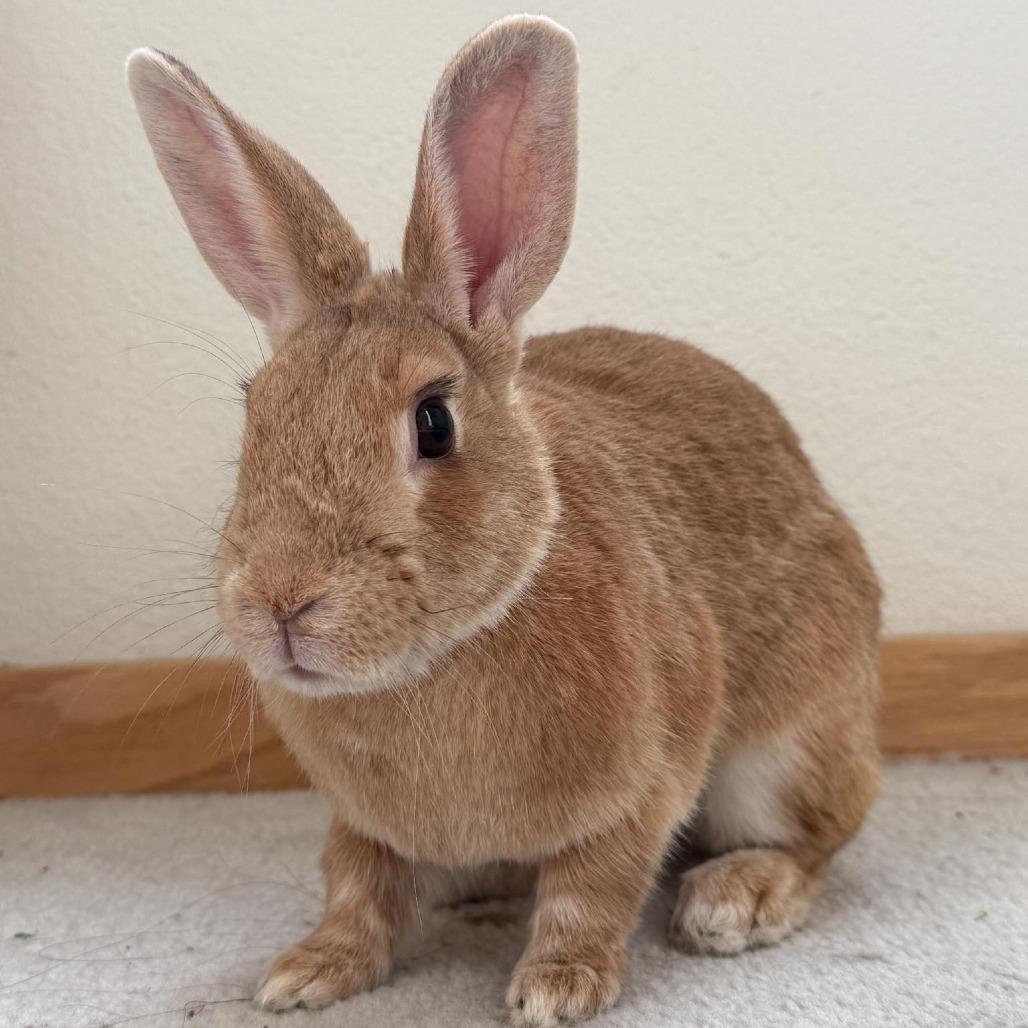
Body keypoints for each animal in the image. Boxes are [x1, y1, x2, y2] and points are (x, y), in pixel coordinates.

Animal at [127, 14, 880, 1027]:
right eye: (255, 410)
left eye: (433, 423)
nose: (281, 604)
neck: (439, 659)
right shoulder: (363, 824)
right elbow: (354, 883)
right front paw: (307, 973)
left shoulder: (644, 783)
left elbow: (593, 888)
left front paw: (557, 990)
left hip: (789, 747)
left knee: (817, 836)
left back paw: (737, 899)